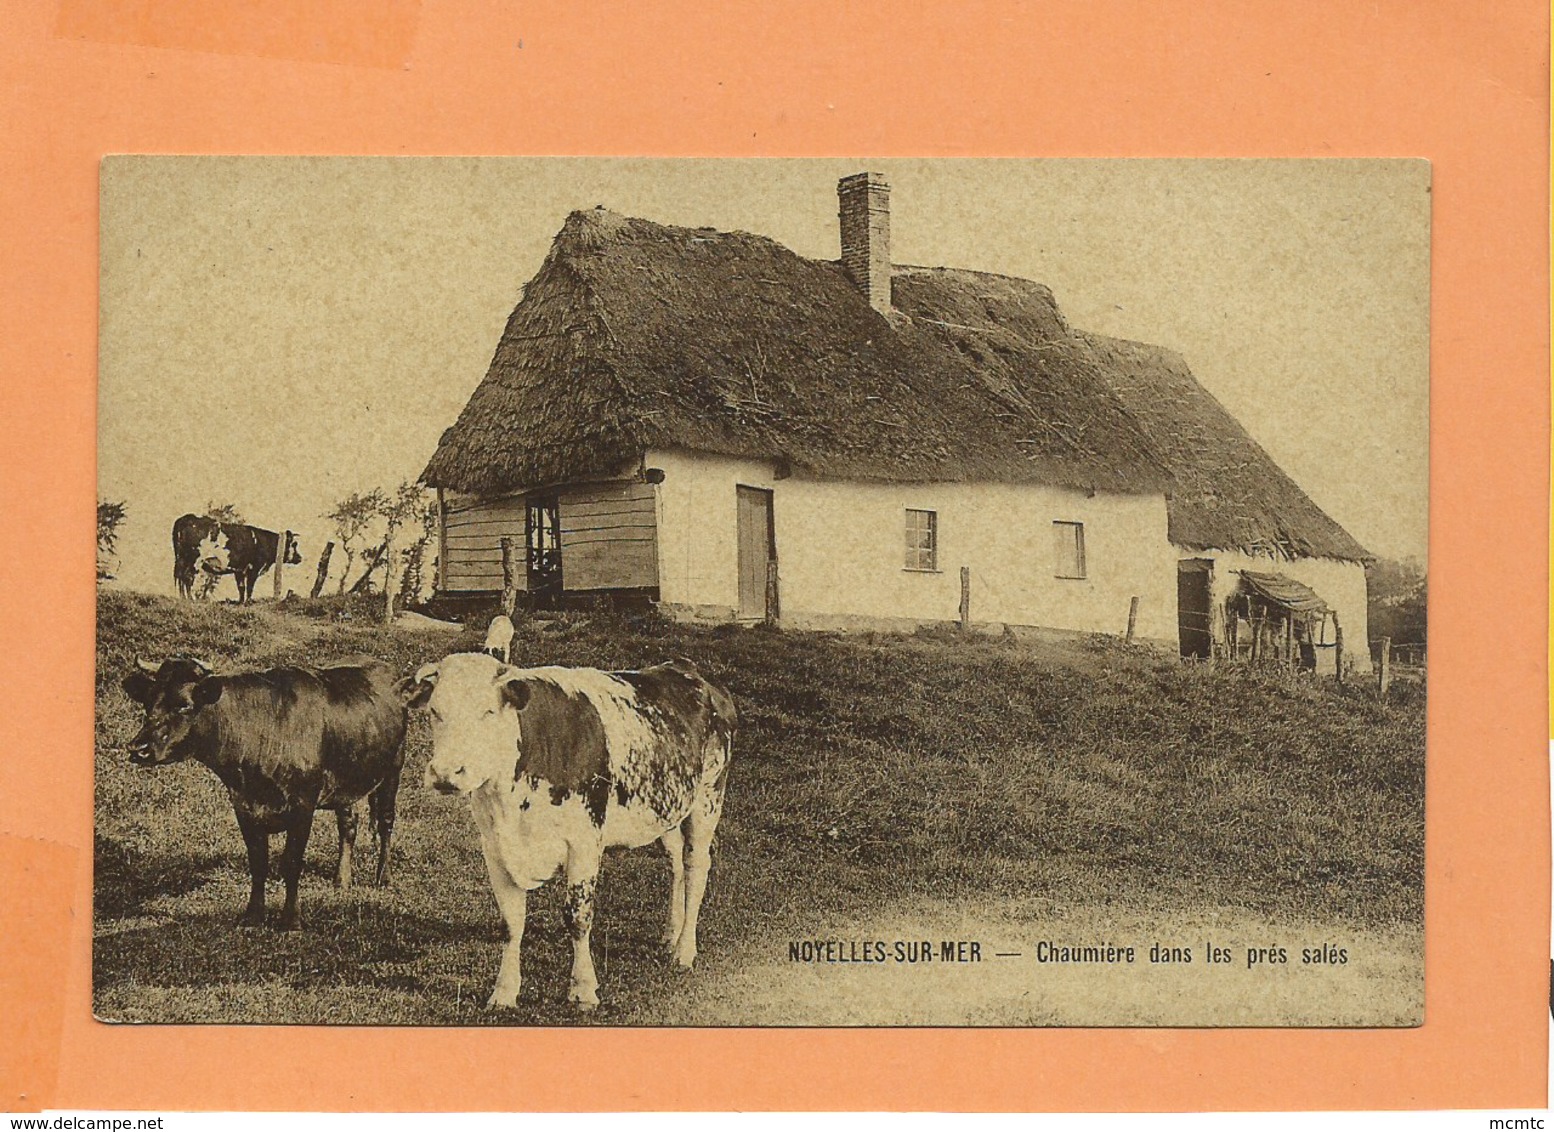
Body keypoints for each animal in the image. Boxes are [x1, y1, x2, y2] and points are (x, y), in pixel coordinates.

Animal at [407, 649, 733, 1013]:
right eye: (435, 712)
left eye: (488, 711)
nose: (446, 773)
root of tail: (688, 669)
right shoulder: (495, 847)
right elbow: (511, 922)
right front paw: (504, 991)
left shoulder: (585, 843)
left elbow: (577, 917)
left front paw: (583, 989)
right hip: (668, 806)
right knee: (675, 862)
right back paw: (670, 934)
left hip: (708, 798)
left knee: (695, 866)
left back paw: (684, 949)